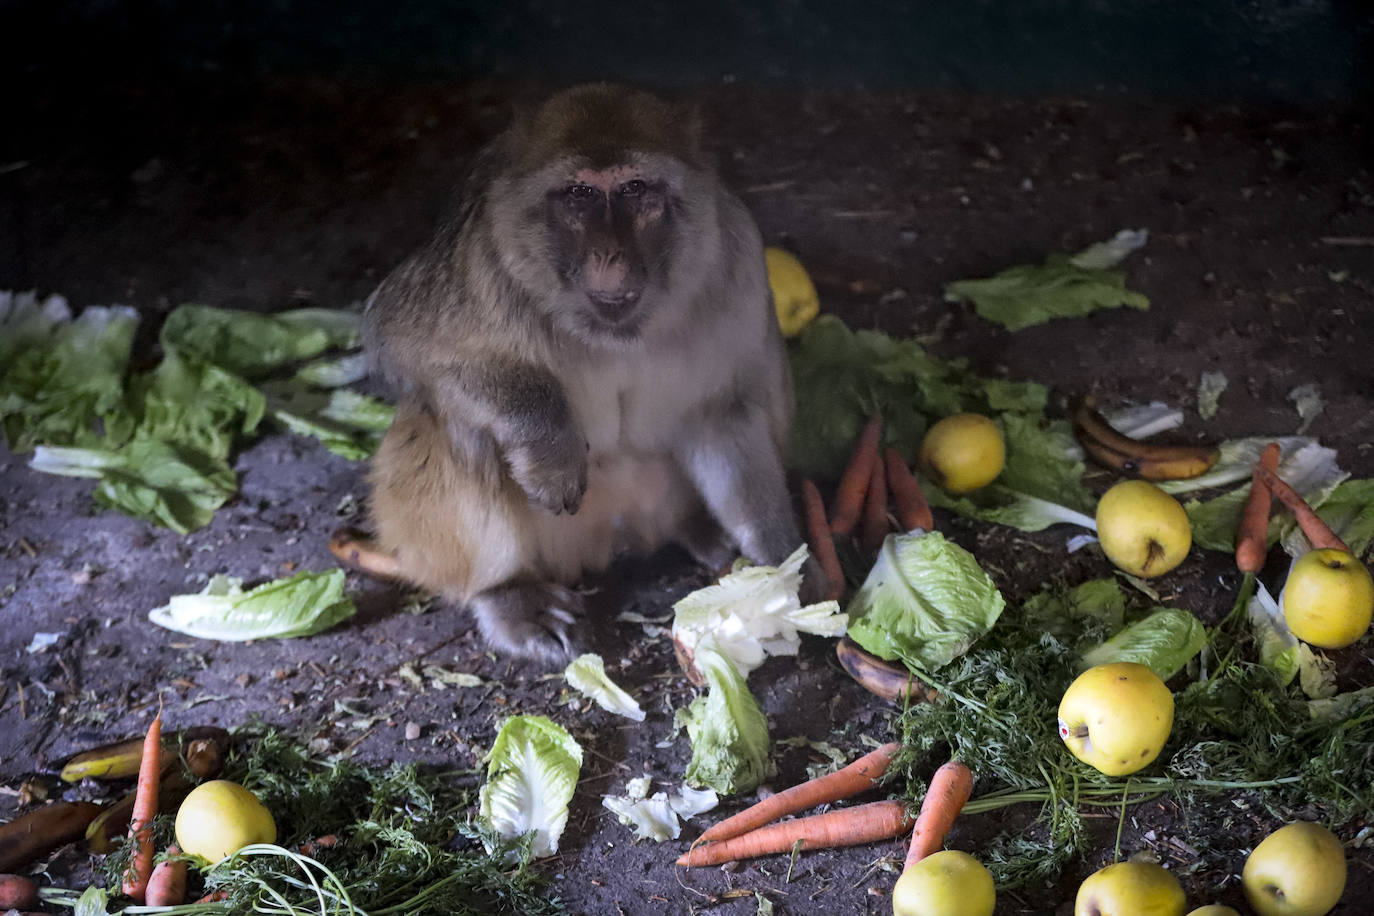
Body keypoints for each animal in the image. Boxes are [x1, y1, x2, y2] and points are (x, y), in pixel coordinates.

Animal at [365, 82, 802, 661]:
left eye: (635, 189)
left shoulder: (737, 260)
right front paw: (551, 448)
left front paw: (780, 560)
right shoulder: (479, 260)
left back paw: (700, 531)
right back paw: (508, 596)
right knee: (458, 423)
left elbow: (722, 412)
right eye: (581, 194)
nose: (609, 254)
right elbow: (403, 344)